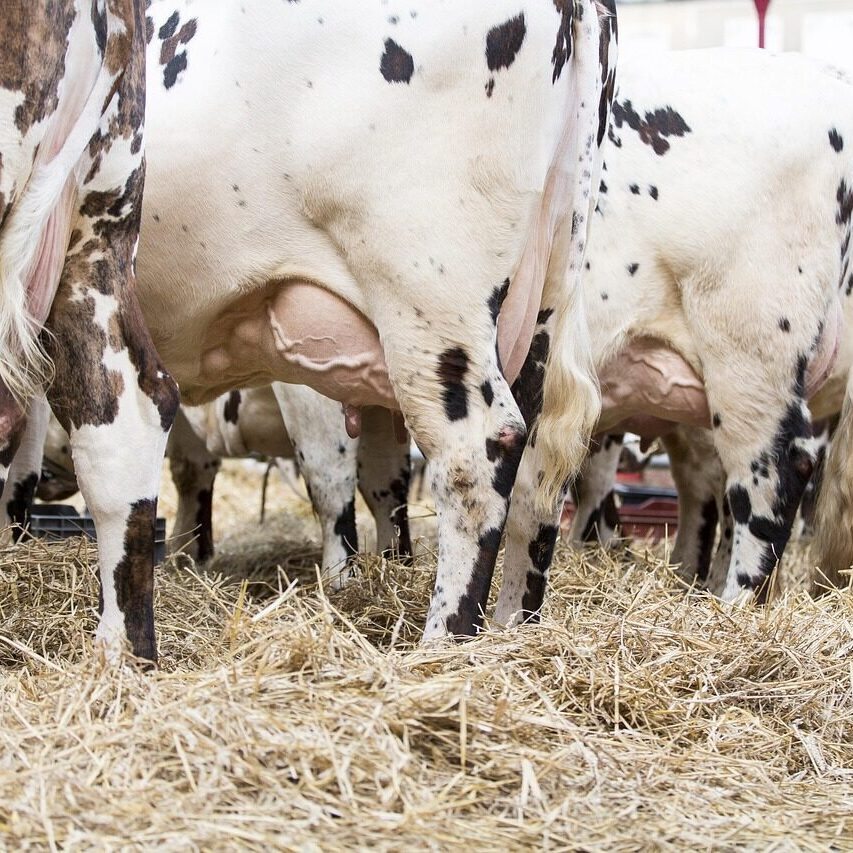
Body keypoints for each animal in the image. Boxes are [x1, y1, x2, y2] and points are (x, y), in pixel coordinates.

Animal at [130, 0, 614, 646]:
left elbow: (332, 474)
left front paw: (343, 584)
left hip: (428, 291)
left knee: (478, 452)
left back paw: (442, 642)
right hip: (544, 294)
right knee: (539, 470)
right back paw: (515, 629)